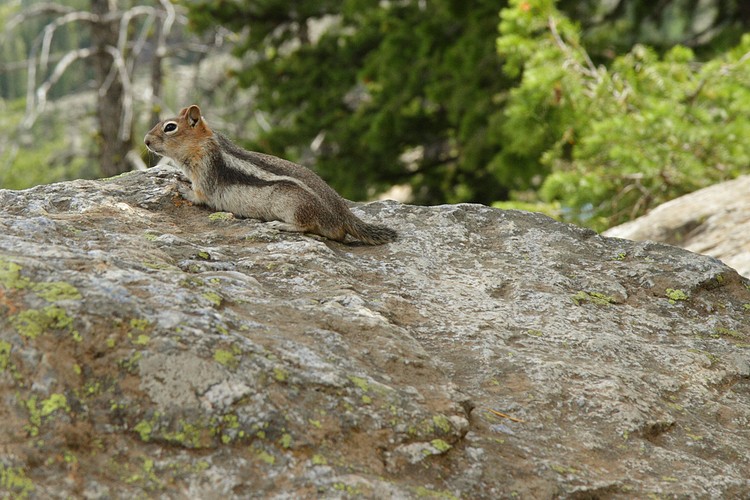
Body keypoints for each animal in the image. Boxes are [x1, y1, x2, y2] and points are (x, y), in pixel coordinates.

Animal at [144, 104, 397, 245]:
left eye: (170, 127)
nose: (145, 141)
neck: (203, 145)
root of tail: (343, 214)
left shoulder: (206, 175)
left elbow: (199, 196)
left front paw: (182, 188)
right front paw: (181, 179)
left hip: (292, 204)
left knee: (311, 227)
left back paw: (281, 226)